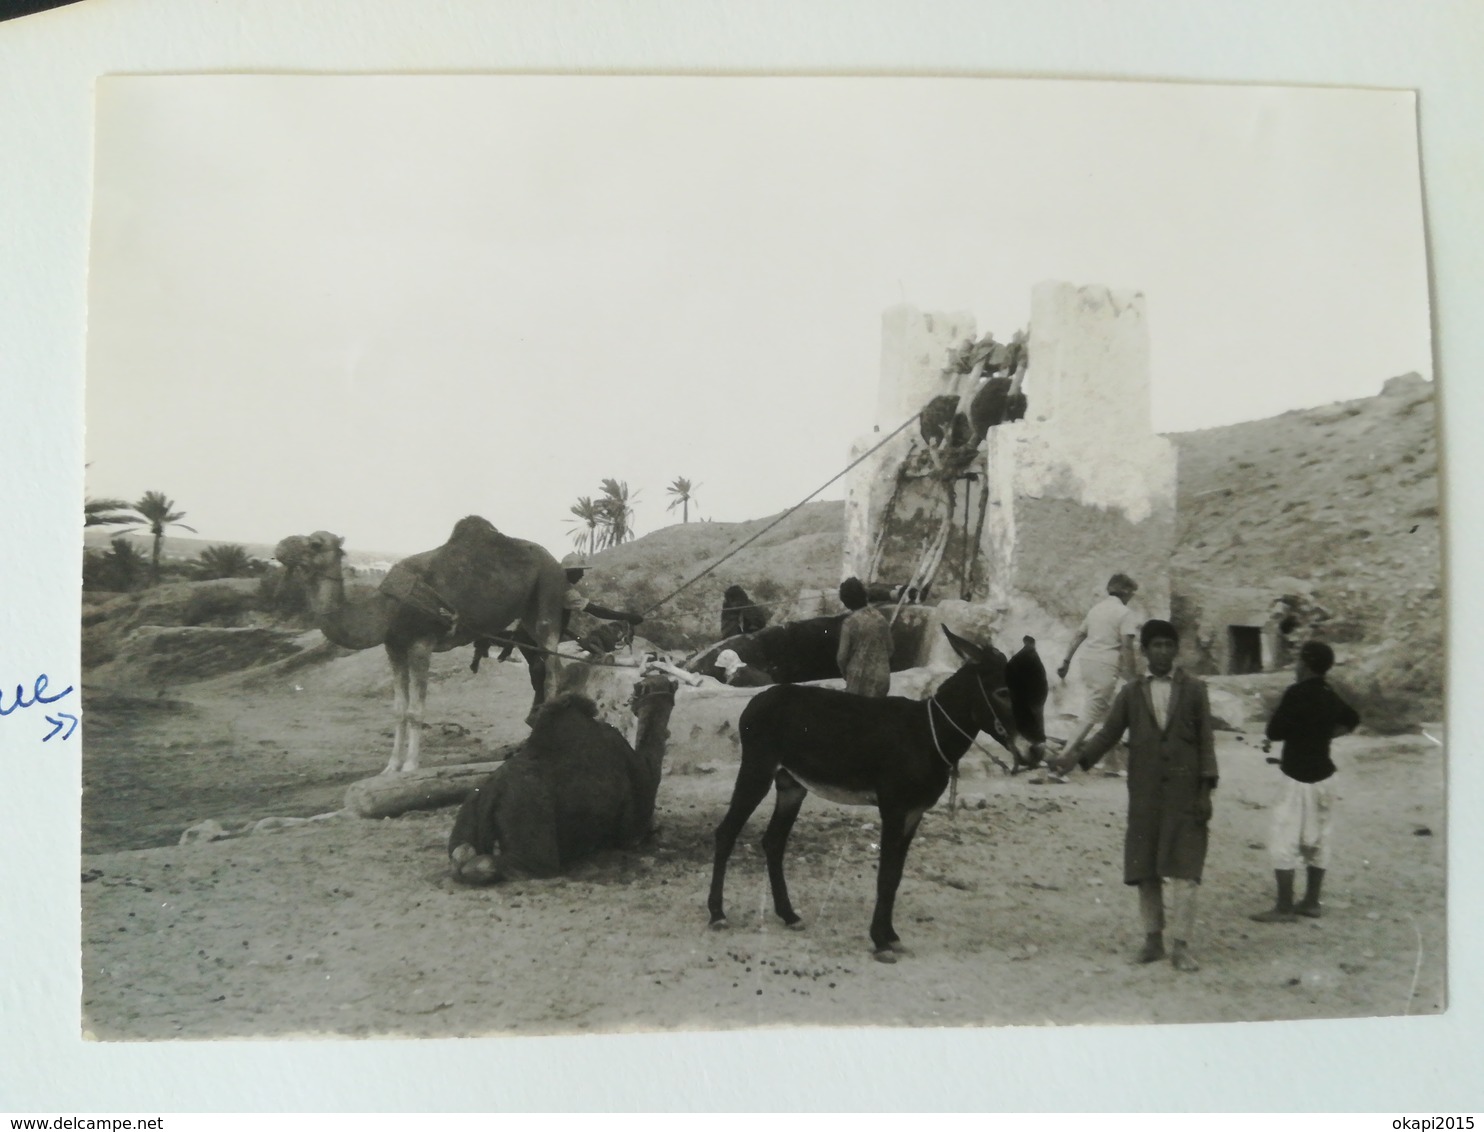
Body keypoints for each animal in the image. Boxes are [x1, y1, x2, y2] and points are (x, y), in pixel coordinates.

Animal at [281, 519, 566, 777]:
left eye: (315, 543)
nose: (282, 545)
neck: (386, 611)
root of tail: (554, 560)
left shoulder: (421, 643)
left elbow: (415, 711)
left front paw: (409, 766)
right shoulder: (394, 647)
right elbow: (398, 710)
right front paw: (390, 766)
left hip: (548, 592)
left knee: (552, 670)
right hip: (527, 615)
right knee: (546, 665)